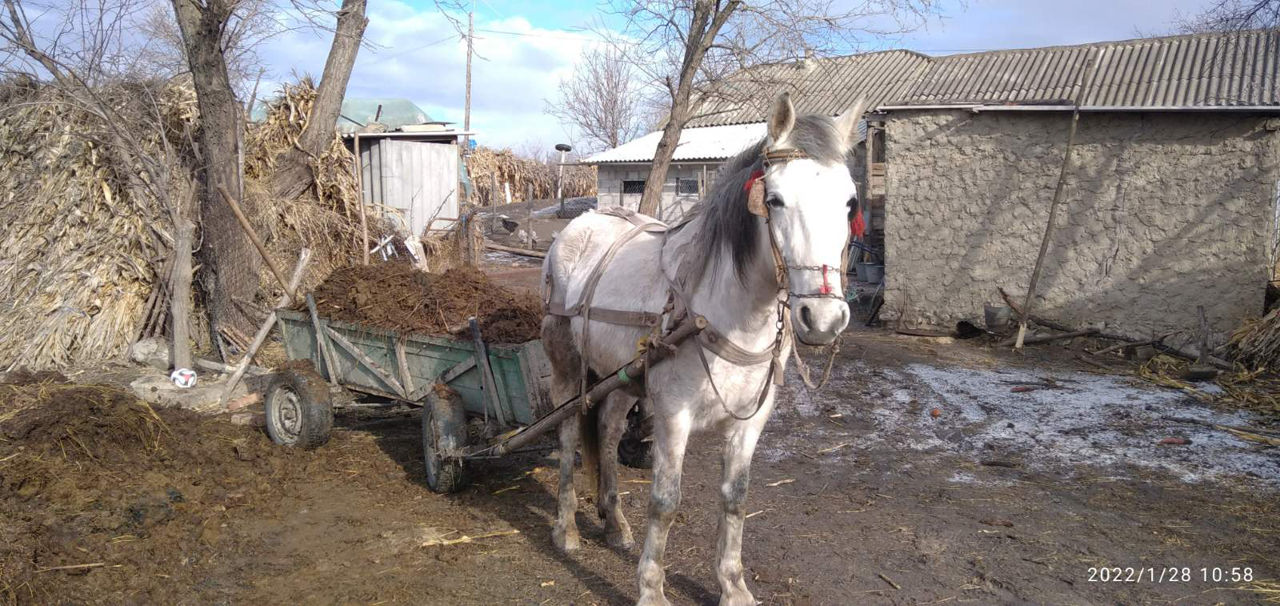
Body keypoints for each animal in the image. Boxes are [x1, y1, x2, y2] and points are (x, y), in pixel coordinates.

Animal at [540, 90, 860, 604]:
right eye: (774, 199)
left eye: (849, 203)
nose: (824, 319)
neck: (725, 313)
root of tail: (579, 224)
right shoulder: (673, 415)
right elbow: (666, 502)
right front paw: (651, 588)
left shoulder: (751, 420)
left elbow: (735, 499)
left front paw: (733, 585)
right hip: (569, 368)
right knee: (569, 433)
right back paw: (566, 530)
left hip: (623, 378)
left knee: (607, 432)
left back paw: (615, 524)